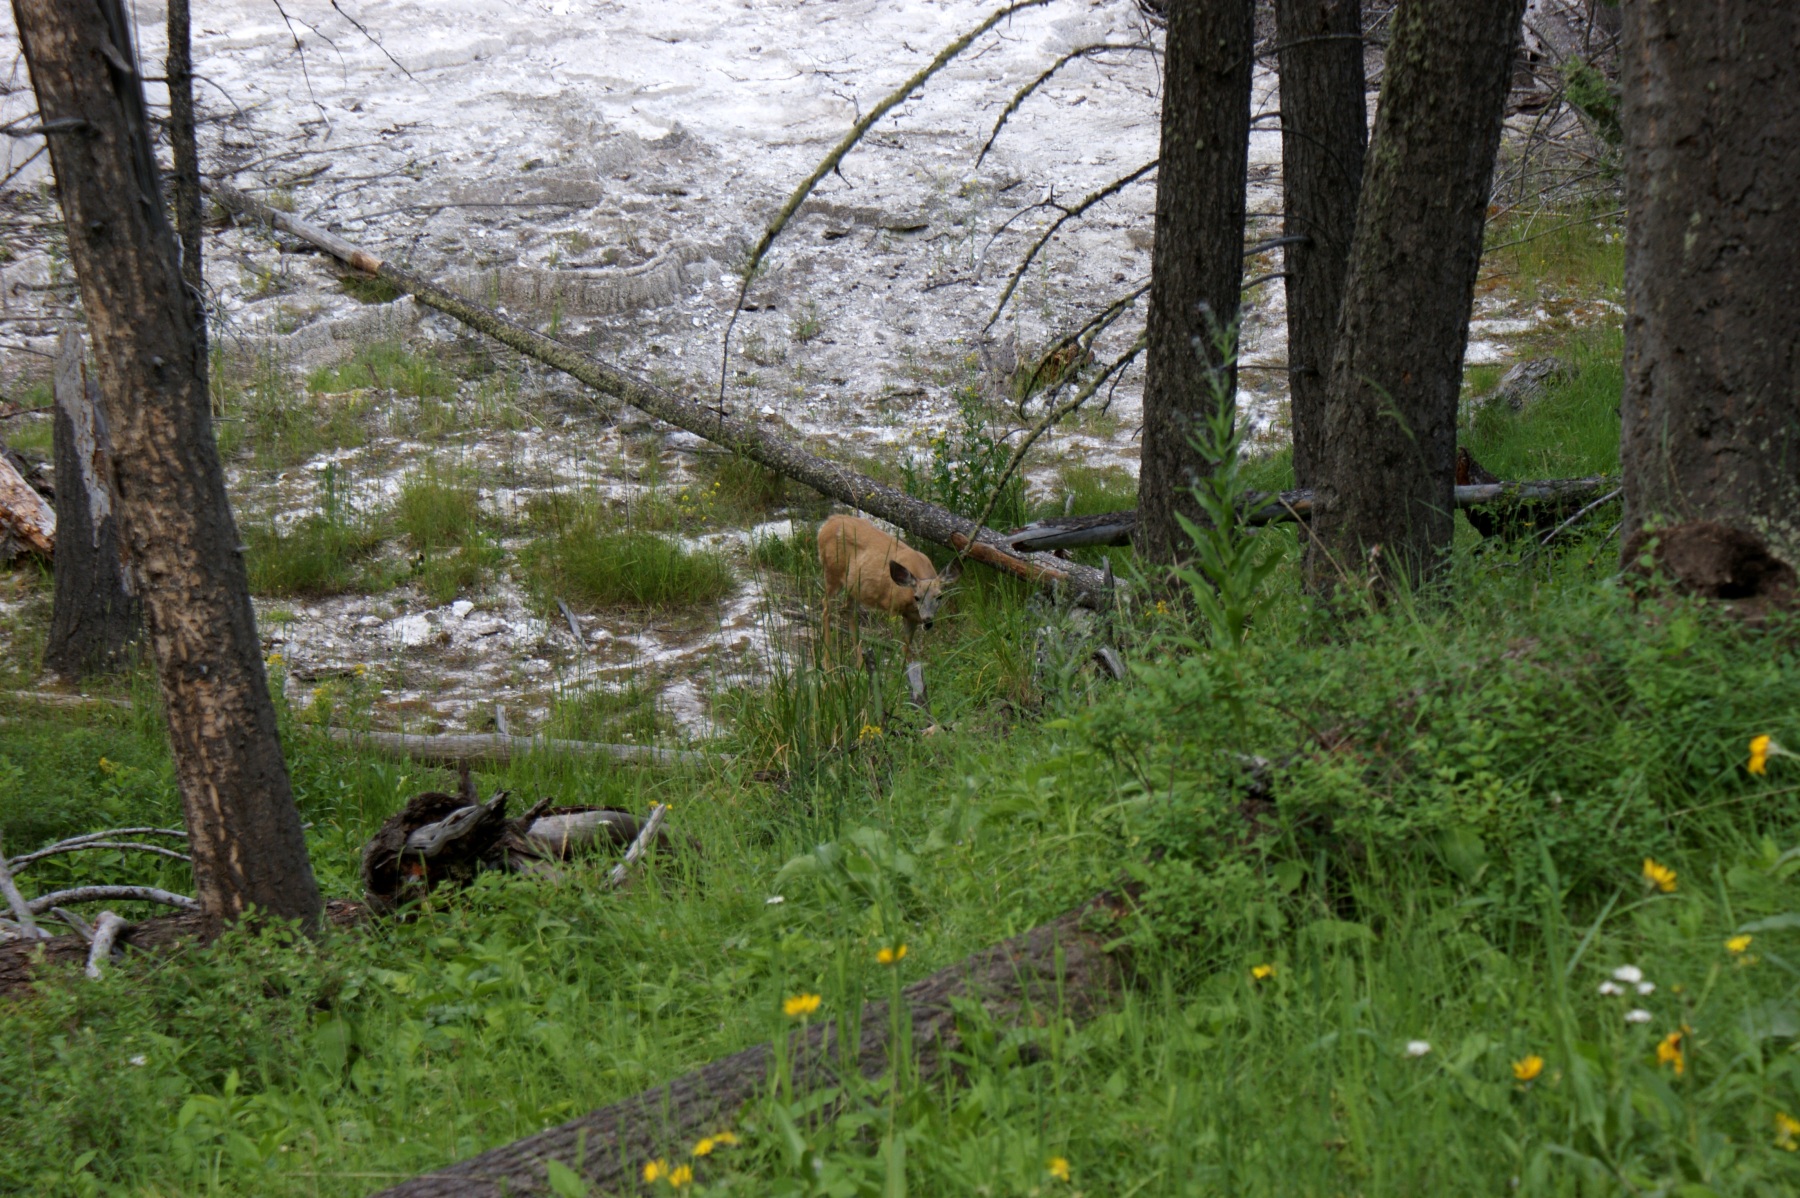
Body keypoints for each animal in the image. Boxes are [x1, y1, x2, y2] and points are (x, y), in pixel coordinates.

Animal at [817, 514, 961, 662]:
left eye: (939, 596)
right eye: (917, 597)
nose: (927, 620)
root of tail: (828, 523)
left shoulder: (913, 617)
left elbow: (906, 648)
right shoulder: (893, 608)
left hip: (854, 587)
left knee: (848, 610)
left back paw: (859, 664)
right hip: (832, 572)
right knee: (826, 607)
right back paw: (828, 663)